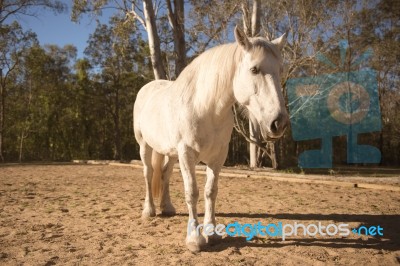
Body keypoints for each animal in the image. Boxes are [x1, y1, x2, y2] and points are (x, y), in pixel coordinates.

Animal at [134, 26, 288, 251]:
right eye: (254, 69)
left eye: (280, 70)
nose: (279, 123)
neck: (205, 108)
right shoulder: (187, 154)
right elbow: (192, 192)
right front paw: (194, 239)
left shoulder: (218, 156)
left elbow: (210, 191)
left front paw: (212, 233)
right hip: (145, 146)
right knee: (148, 173)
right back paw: (149, 211)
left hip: (171, 153)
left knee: (164, 174)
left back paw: (167, 207)